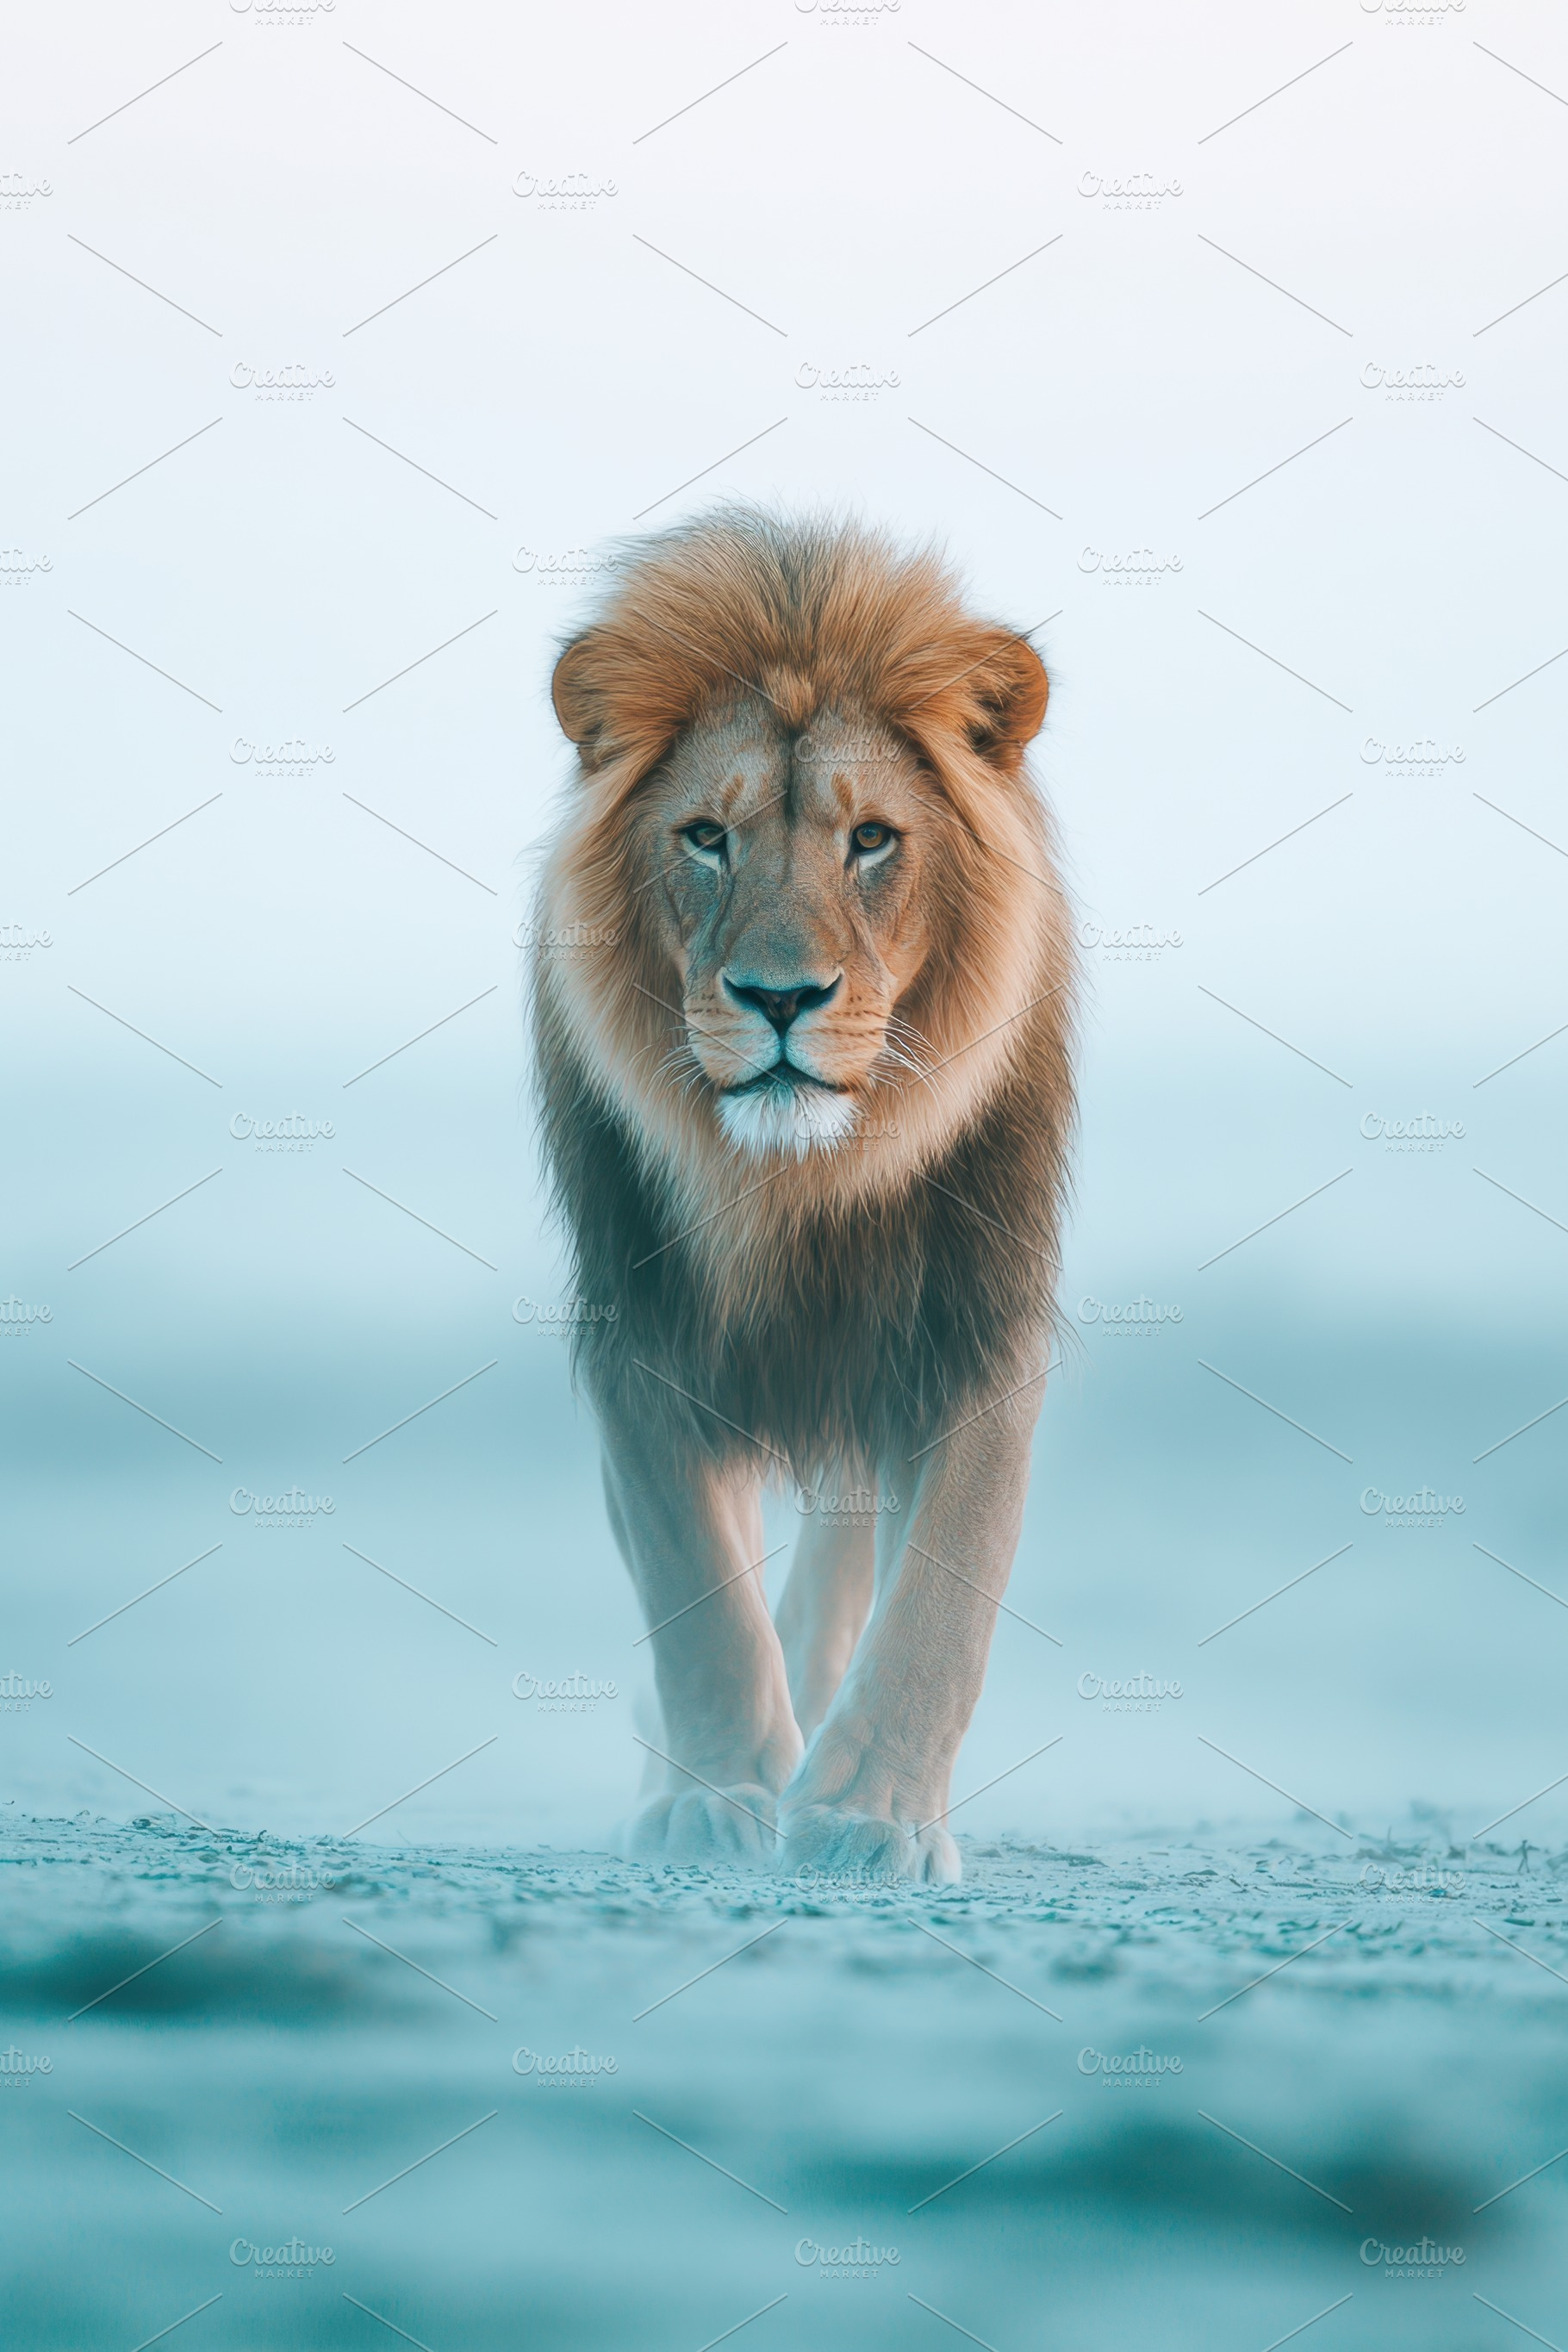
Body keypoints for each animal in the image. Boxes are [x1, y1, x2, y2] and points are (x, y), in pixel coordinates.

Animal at [532, 509, 1074, 1883]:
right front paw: (719, 1791)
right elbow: (694, 1591)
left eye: (869, 837)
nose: (781, 998)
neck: (795, 1182)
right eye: (705, 836)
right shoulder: (640, 1329)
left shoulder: (974, 1325)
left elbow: (944, 1586)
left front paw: (869, 1814)